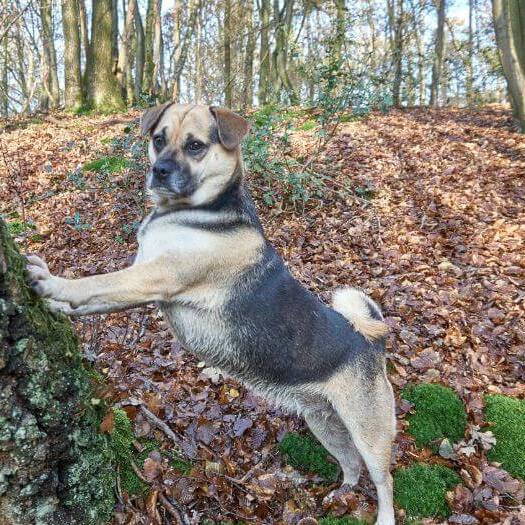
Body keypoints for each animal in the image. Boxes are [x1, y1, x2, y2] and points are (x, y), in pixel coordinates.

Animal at [24, 103, 392, 524]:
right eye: (158, 139)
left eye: (195, 146)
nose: (159, 171)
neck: (199, 210)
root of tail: (371, 343)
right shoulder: (140, 283)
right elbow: (95, 298)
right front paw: (55, 307)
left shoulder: (153, 278)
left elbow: (94, 283)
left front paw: (53, 284)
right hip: (324, 423)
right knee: (351, 464)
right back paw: (342, 493)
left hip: (369, 432)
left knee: (383, 481)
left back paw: (383, 514)